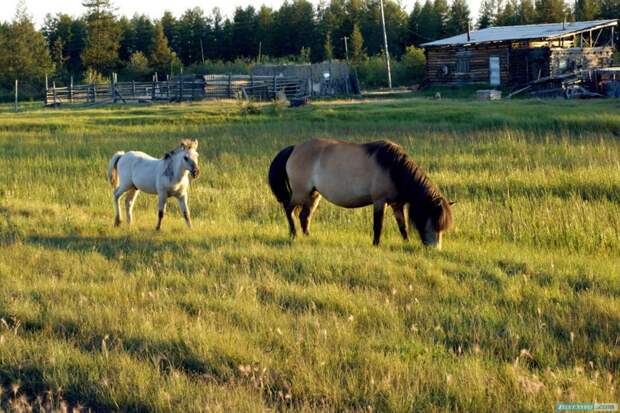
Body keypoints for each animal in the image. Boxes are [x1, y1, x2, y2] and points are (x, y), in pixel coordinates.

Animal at [268, 138, 456, 248]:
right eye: (433, 221)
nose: (435, 249)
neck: (392, 167)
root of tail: (294, 148)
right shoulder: (379, 201)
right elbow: (378, 225)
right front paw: (376, 244)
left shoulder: (397, 204)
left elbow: (402, 226)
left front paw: (406, 242)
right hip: (300, 193)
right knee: (289, 210)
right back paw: (293, 234)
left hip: (313, 195)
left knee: (304, 216)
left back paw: (308, 236)